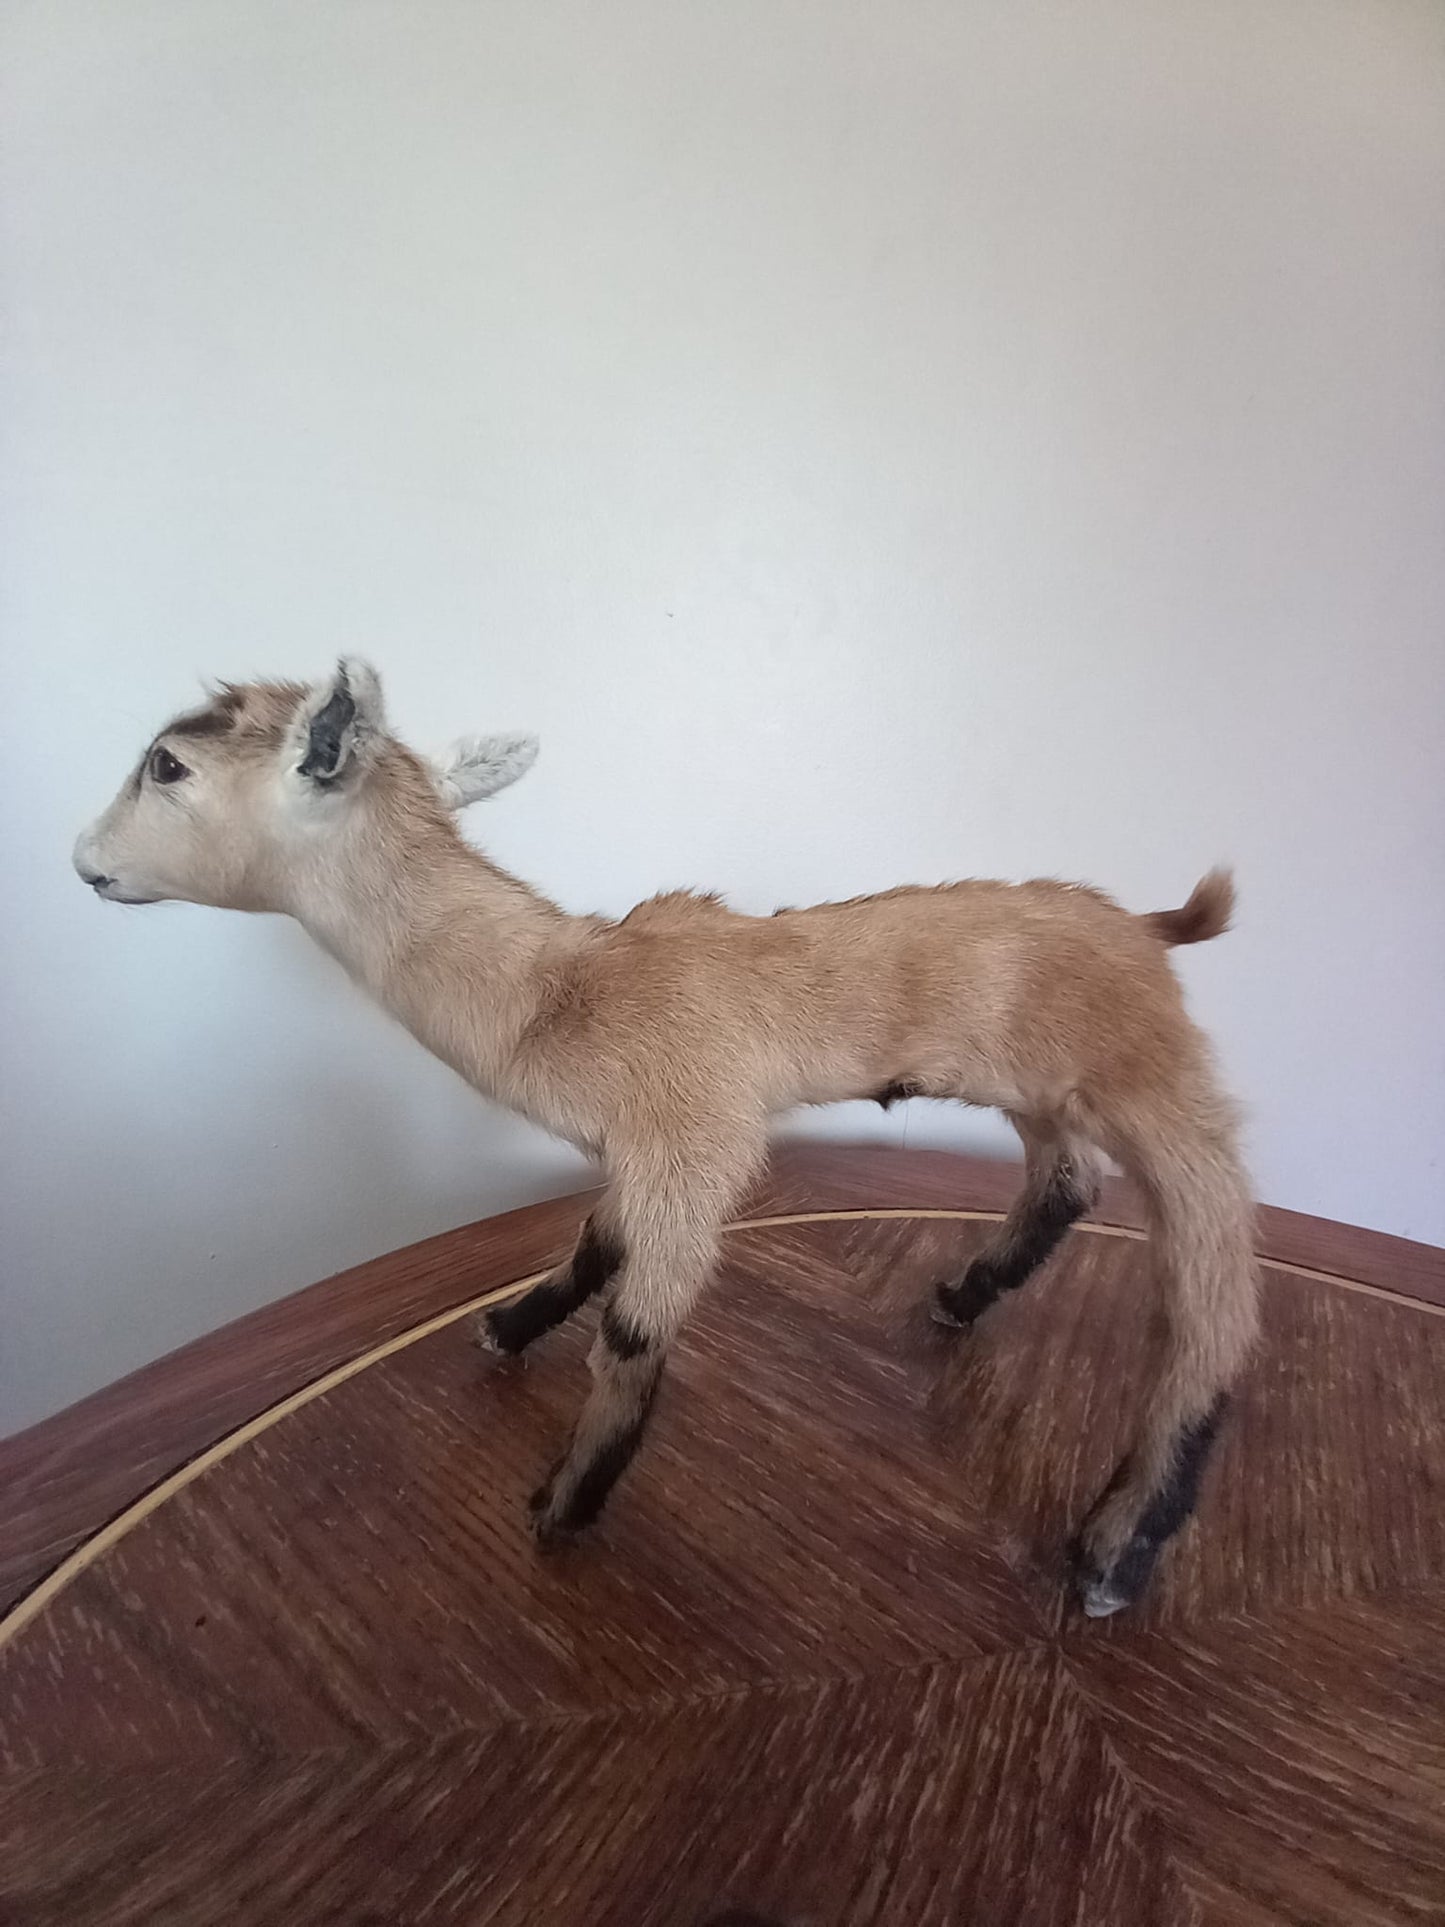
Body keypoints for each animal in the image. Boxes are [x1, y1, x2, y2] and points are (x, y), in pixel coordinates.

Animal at [74, 660, 1258, 1616]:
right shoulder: (638, 1151)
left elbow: (636, 1330)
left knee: (1212, 1290)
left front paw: (564, 1500)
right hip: (1047, 1092)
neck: (558, 992)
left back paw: (1114, 1550)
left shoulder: (698, 1141)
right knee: (1066, 1181)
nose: (84, 861)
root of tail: (1150, 930)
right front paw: (508, 1326)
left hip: (1156, 1085)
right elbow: (596, 1245)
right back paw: (965, 1295)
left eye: (167, 764)